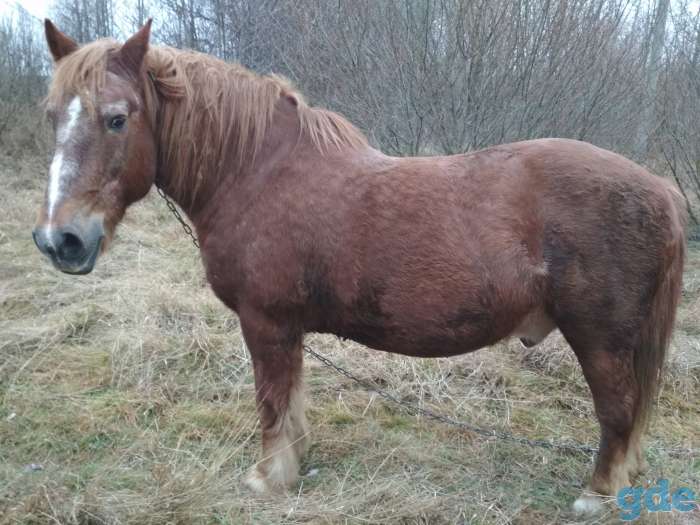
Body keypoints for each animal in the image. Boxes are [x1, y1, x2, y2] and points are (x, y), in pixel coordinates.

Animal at [33, 20, 687, 515]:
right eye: (52, 116)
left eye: (117, 117)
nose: (60, 240)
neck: (254, 171)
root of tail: (660, 191)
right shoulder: (287, 329)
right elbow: (291, 399)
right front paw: (293, 463)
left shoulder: (265, 323)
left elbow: (270, 399)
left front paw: (267, 478)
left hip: (601, 339)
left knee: (617, 412)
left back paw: (596, 498)